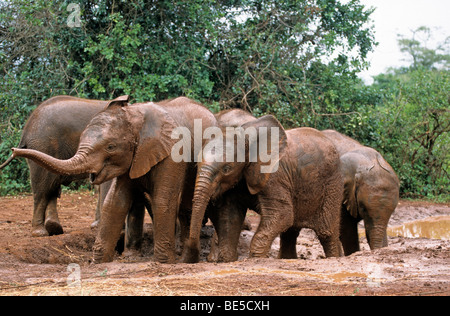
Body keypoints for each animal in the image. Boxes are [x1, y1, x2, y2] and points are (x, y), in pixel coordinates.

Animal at [0, 96, 112, 237]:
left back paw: (54, 228)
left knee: (51, 186)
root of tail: (27, 128)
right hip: (44, 145)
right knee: (43, 188)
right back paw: (40, 232)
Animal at [12, 96, 218, 264]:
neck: (135, 117)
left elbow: (162, 200)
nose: (13, 151)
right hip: (43, 144)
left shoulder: (173, 151)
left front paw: (163, 262)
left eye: (110, 147)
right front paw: (99, 261)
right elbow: (115, 202)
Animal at [183, 115, 344, 262]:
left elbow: (282, 215)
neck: (244, 137)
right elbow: (230, 216)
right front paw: (227, 260)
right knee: (290, 232)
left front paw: (254, 259)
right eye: (196, 165)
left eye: (227, 169)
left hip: (332, 185)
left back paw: (334, 257)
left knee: (326, 232)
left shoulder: (274, 177)